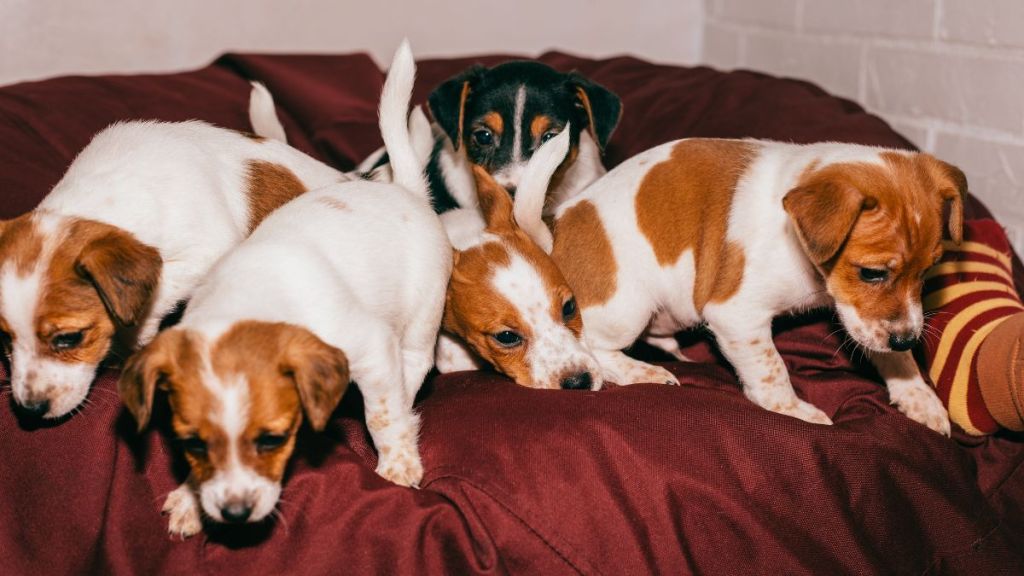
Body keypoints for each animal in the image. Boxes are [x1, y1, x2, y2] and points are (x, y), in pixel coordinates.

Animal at [0, 109, 354, 420]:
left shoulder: (207, 252)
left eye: (69, 338)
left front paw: (135, 337)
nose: (30, 410)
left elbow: (158, 290)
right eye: (4, 338)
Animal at [117, 41, 450, 537]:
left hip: (421, 318)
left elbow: (383, 417)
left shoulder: (371, 350)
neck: (248, 300)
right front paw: (190, 499)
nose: (234, 513)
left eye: (271, 440)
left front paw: (397, 466)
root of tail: (405, 191)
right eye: (193, 445)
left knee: (412, 367)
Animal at [516, 136, 962, 432]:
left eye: (927, 272)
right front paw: (792, 410)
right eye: (872, 273)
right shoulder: (737, 315)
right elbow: (772, 370)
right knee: (591, 348)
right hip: (628, 307)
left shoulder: (863, 316)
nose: (907, 339)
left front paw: (919, 397)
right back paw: (645, 371)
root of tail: (551, 233)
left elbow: (892, 356)